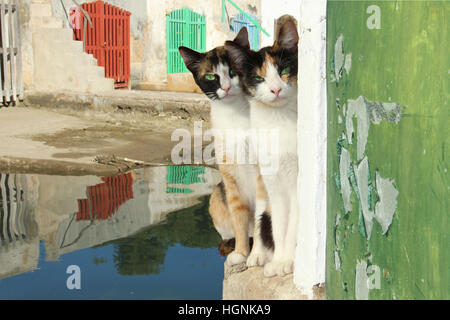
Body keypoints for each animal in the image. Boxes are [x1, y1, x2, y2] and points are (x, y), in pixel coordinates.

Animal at [225, 19, 298, 278]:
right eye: (259, 79)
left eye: (284, 71)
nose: (276, 89)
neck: (278, 120)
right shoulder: (273, 183)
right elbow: (279, 224)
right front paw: (278, 261)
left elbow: (292, 225)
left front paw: (286, 262)